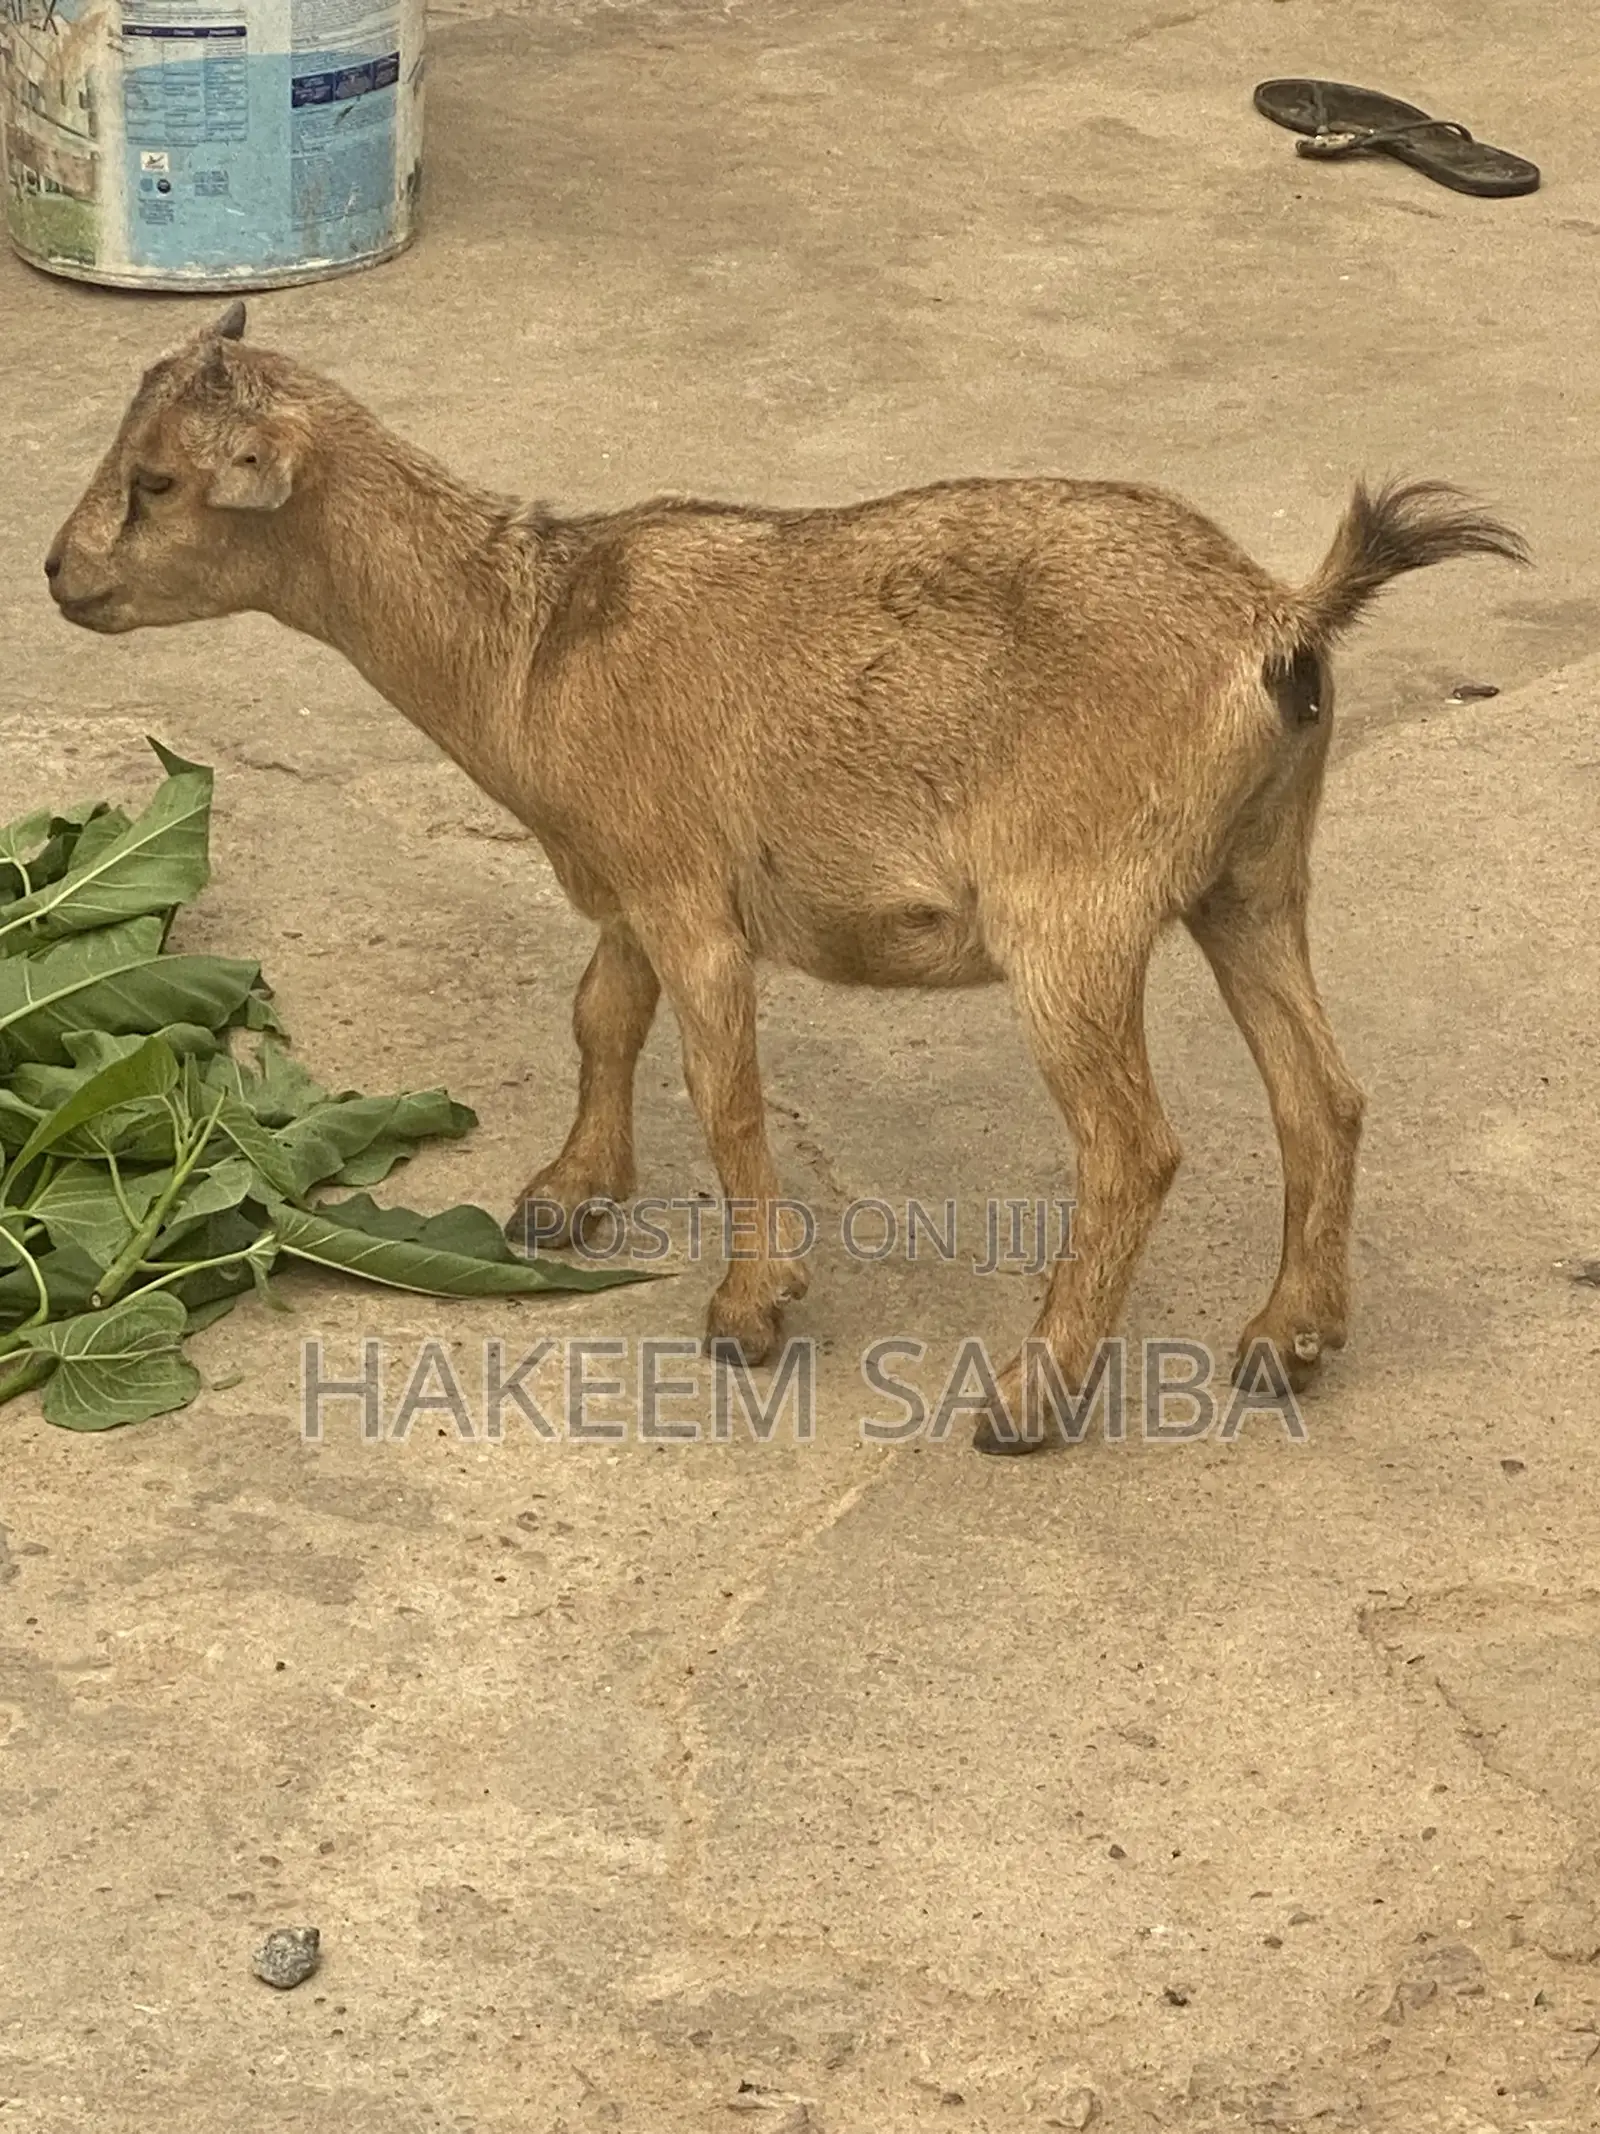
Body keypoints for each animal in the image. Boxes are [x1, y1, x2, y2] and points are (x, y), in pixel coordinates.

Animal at [45, 304, 1527, 1452]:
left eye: (160, 481)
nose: (61, 575)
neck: (532, 638)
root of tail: (1280, 616)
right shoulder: (634, 880)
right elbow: (601, 1018)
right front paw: (564, 1195)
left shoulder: (690, 902)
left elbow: (725, 1091)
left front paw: (748, 1309)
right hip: (1253, 878)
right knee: (1321, 1097)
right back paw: (1289, 1336)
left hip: (1073, 913)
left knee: (1132, 1148)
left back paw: (1031, 1398)